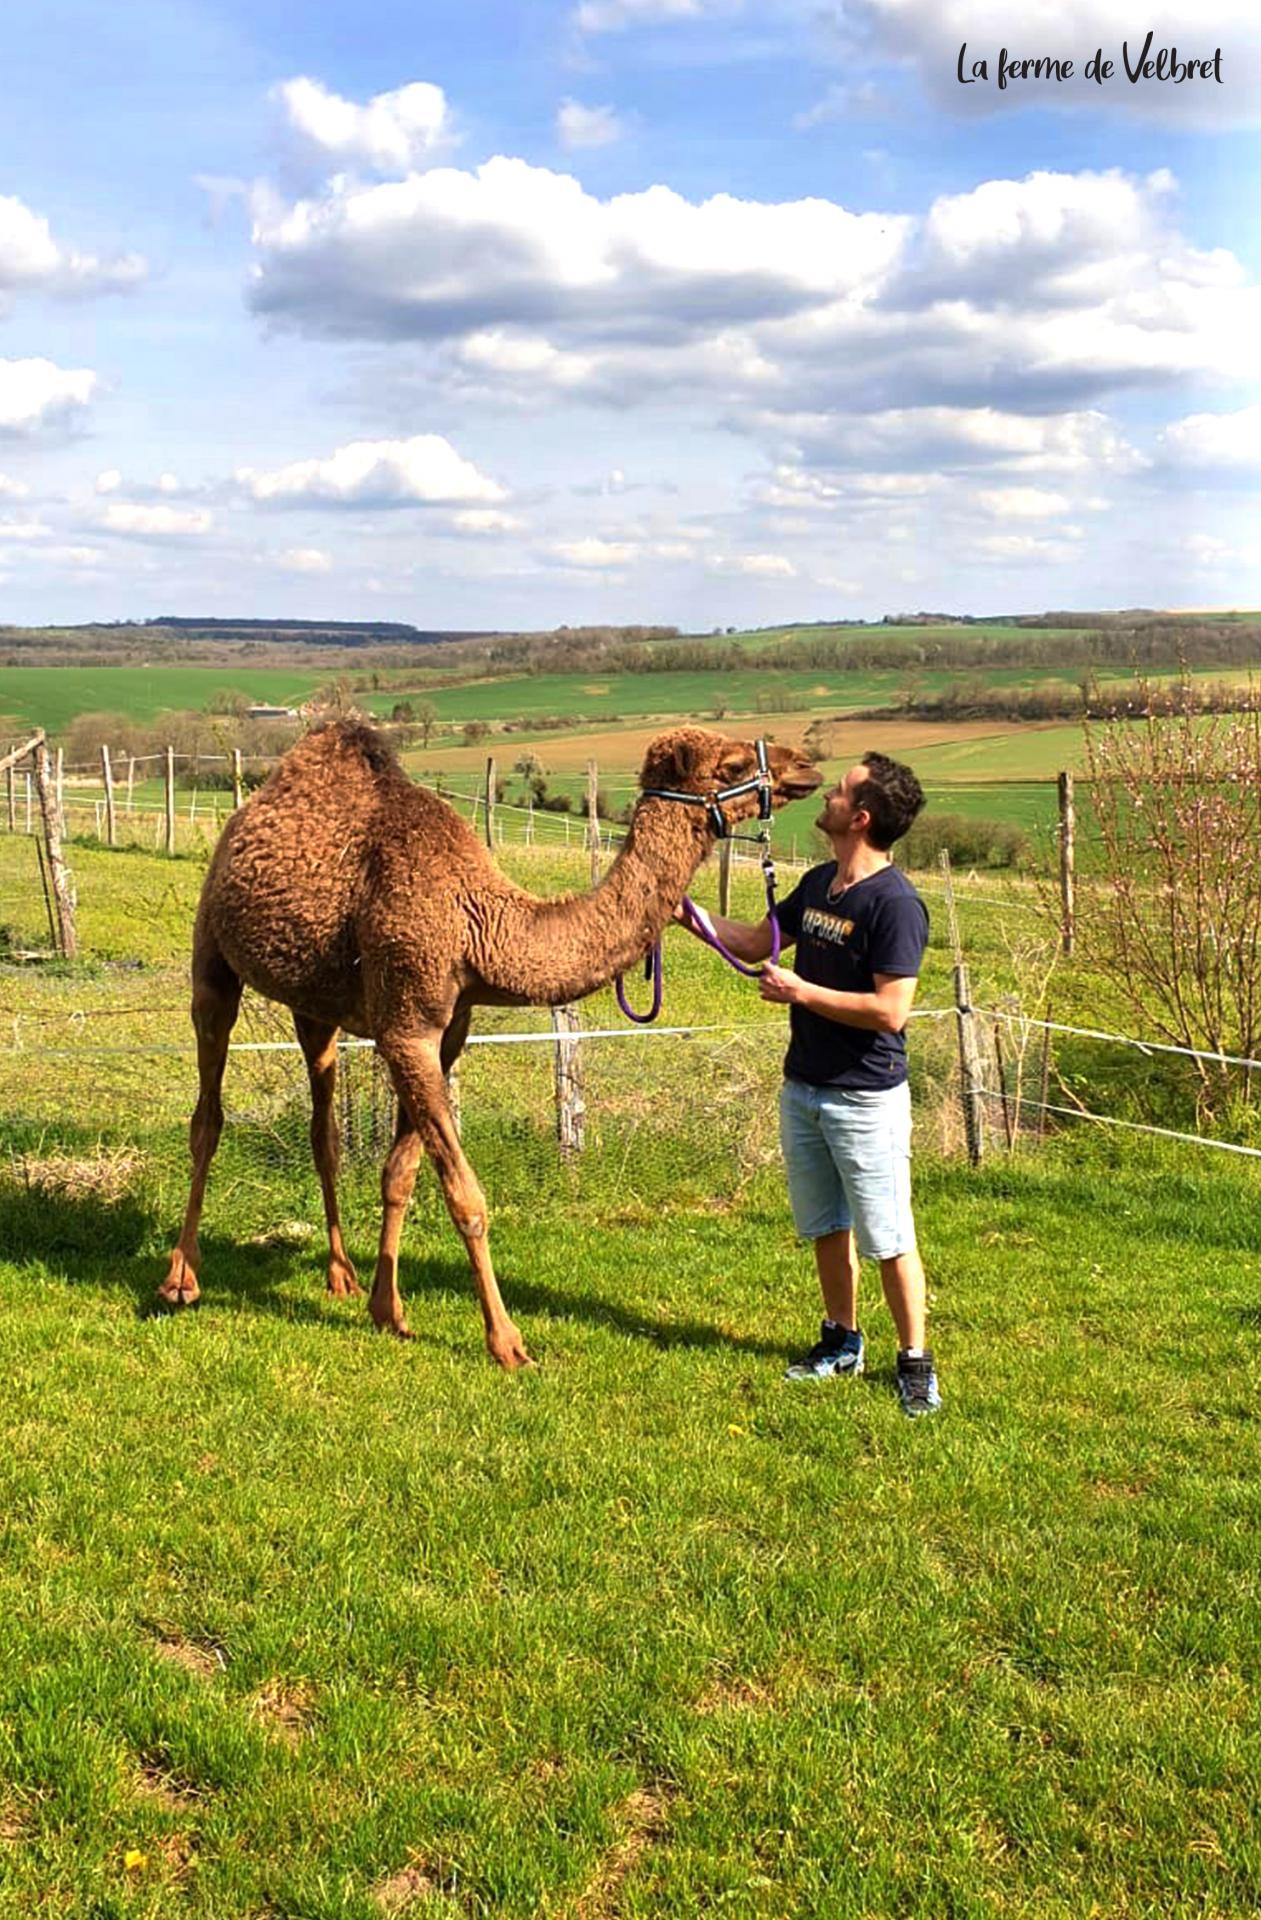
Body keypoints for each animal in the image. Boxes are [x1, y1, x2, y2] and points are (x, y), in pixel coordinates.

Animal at [157, 721, 821, 1367]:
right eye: (732, 765)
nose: (807, 766)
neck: (478, 924)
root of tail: (244, 816)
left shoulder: (447, 1029)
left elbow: (399, 1171)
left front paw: (387, 1308)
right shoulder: (407, 1029)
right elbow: (465, 1195)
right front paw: (506, 1341)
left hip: (314, 1005)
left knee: (325, 1132)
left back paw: (339, 1274)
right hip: (211, 954)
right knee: (207, 1115)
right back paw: (181, 1278)